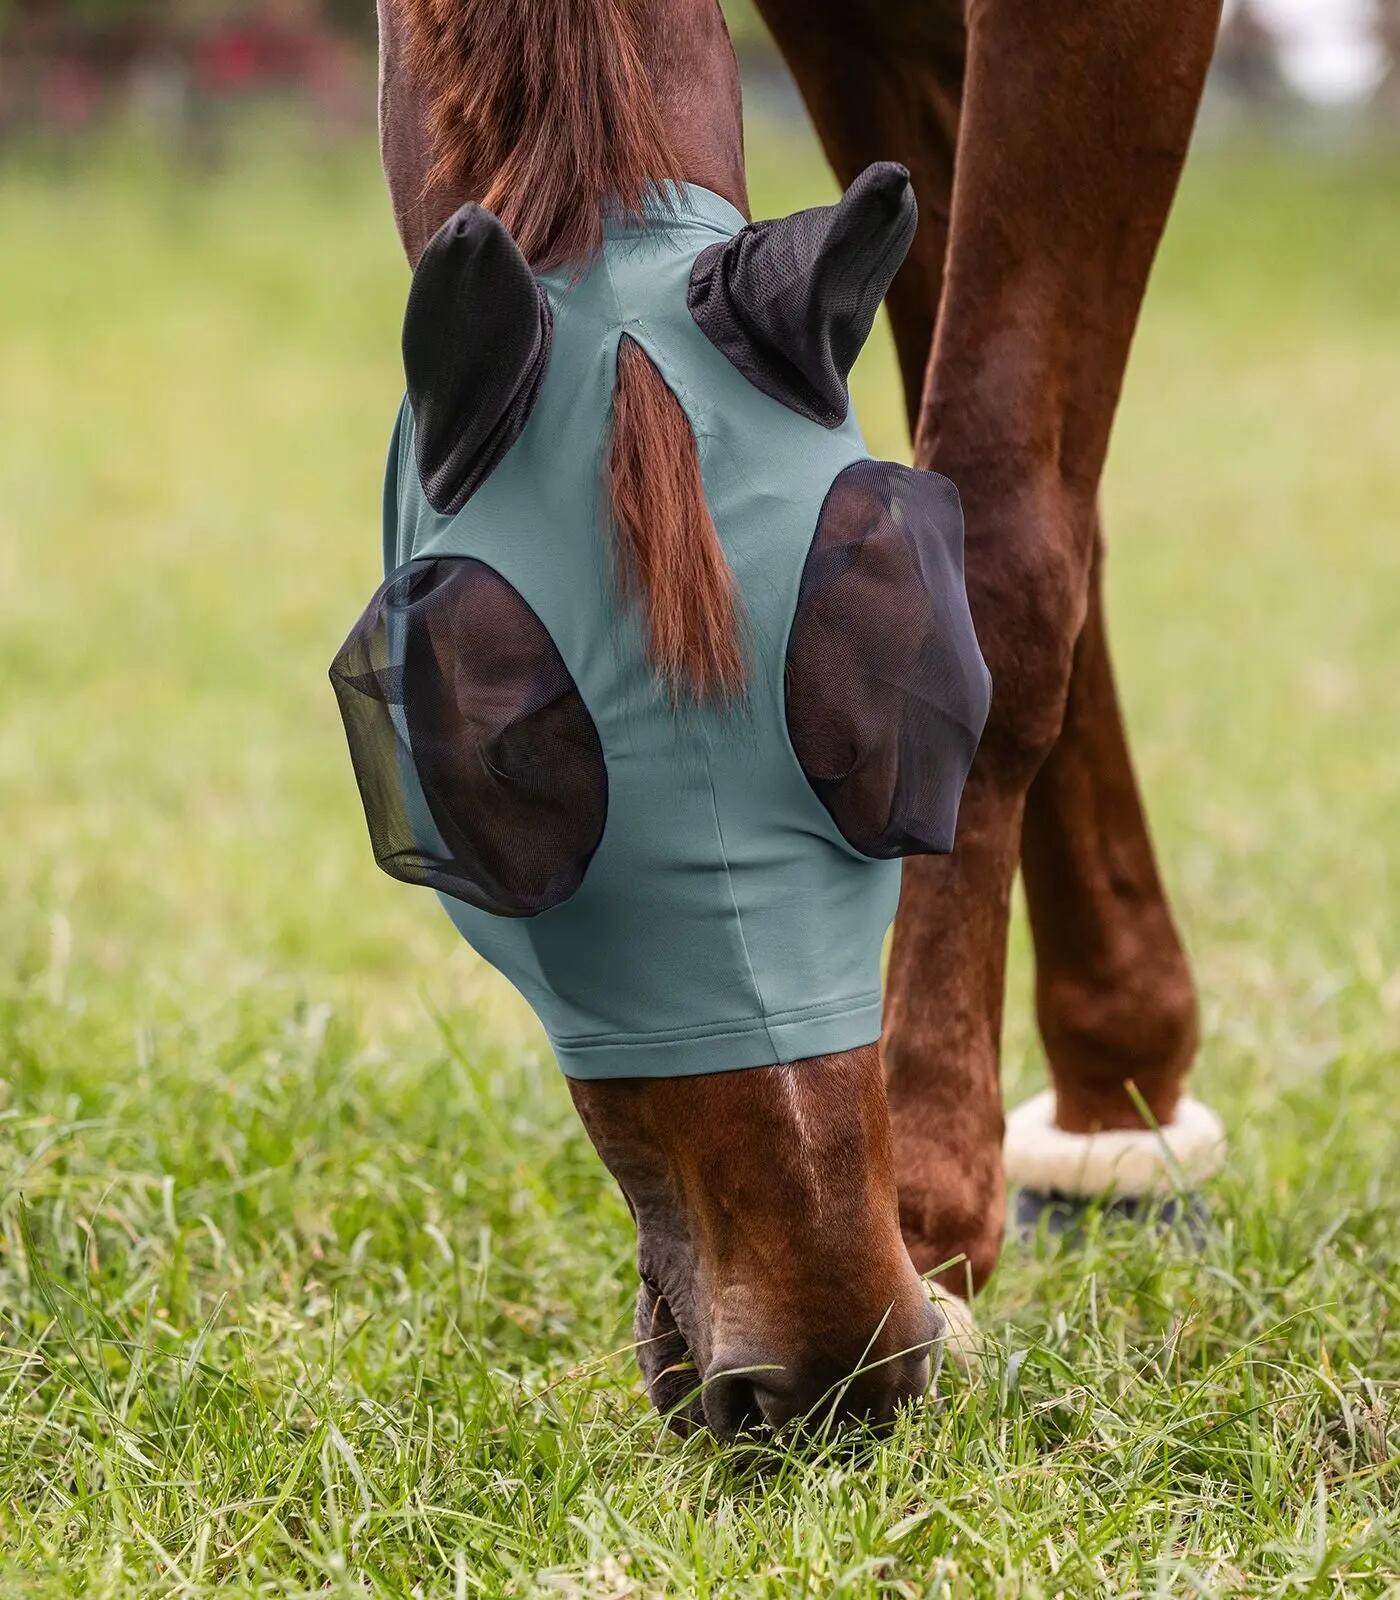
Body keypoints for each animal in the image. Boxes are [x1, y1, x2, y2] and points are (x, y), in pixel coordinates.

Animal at [366, 0, 1226, 1439]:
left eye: (907, 687)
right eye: (501, 770)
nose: (831, 1365)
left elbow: (1013, 529)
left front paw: (938, 1193)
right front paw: (1111, 1081)